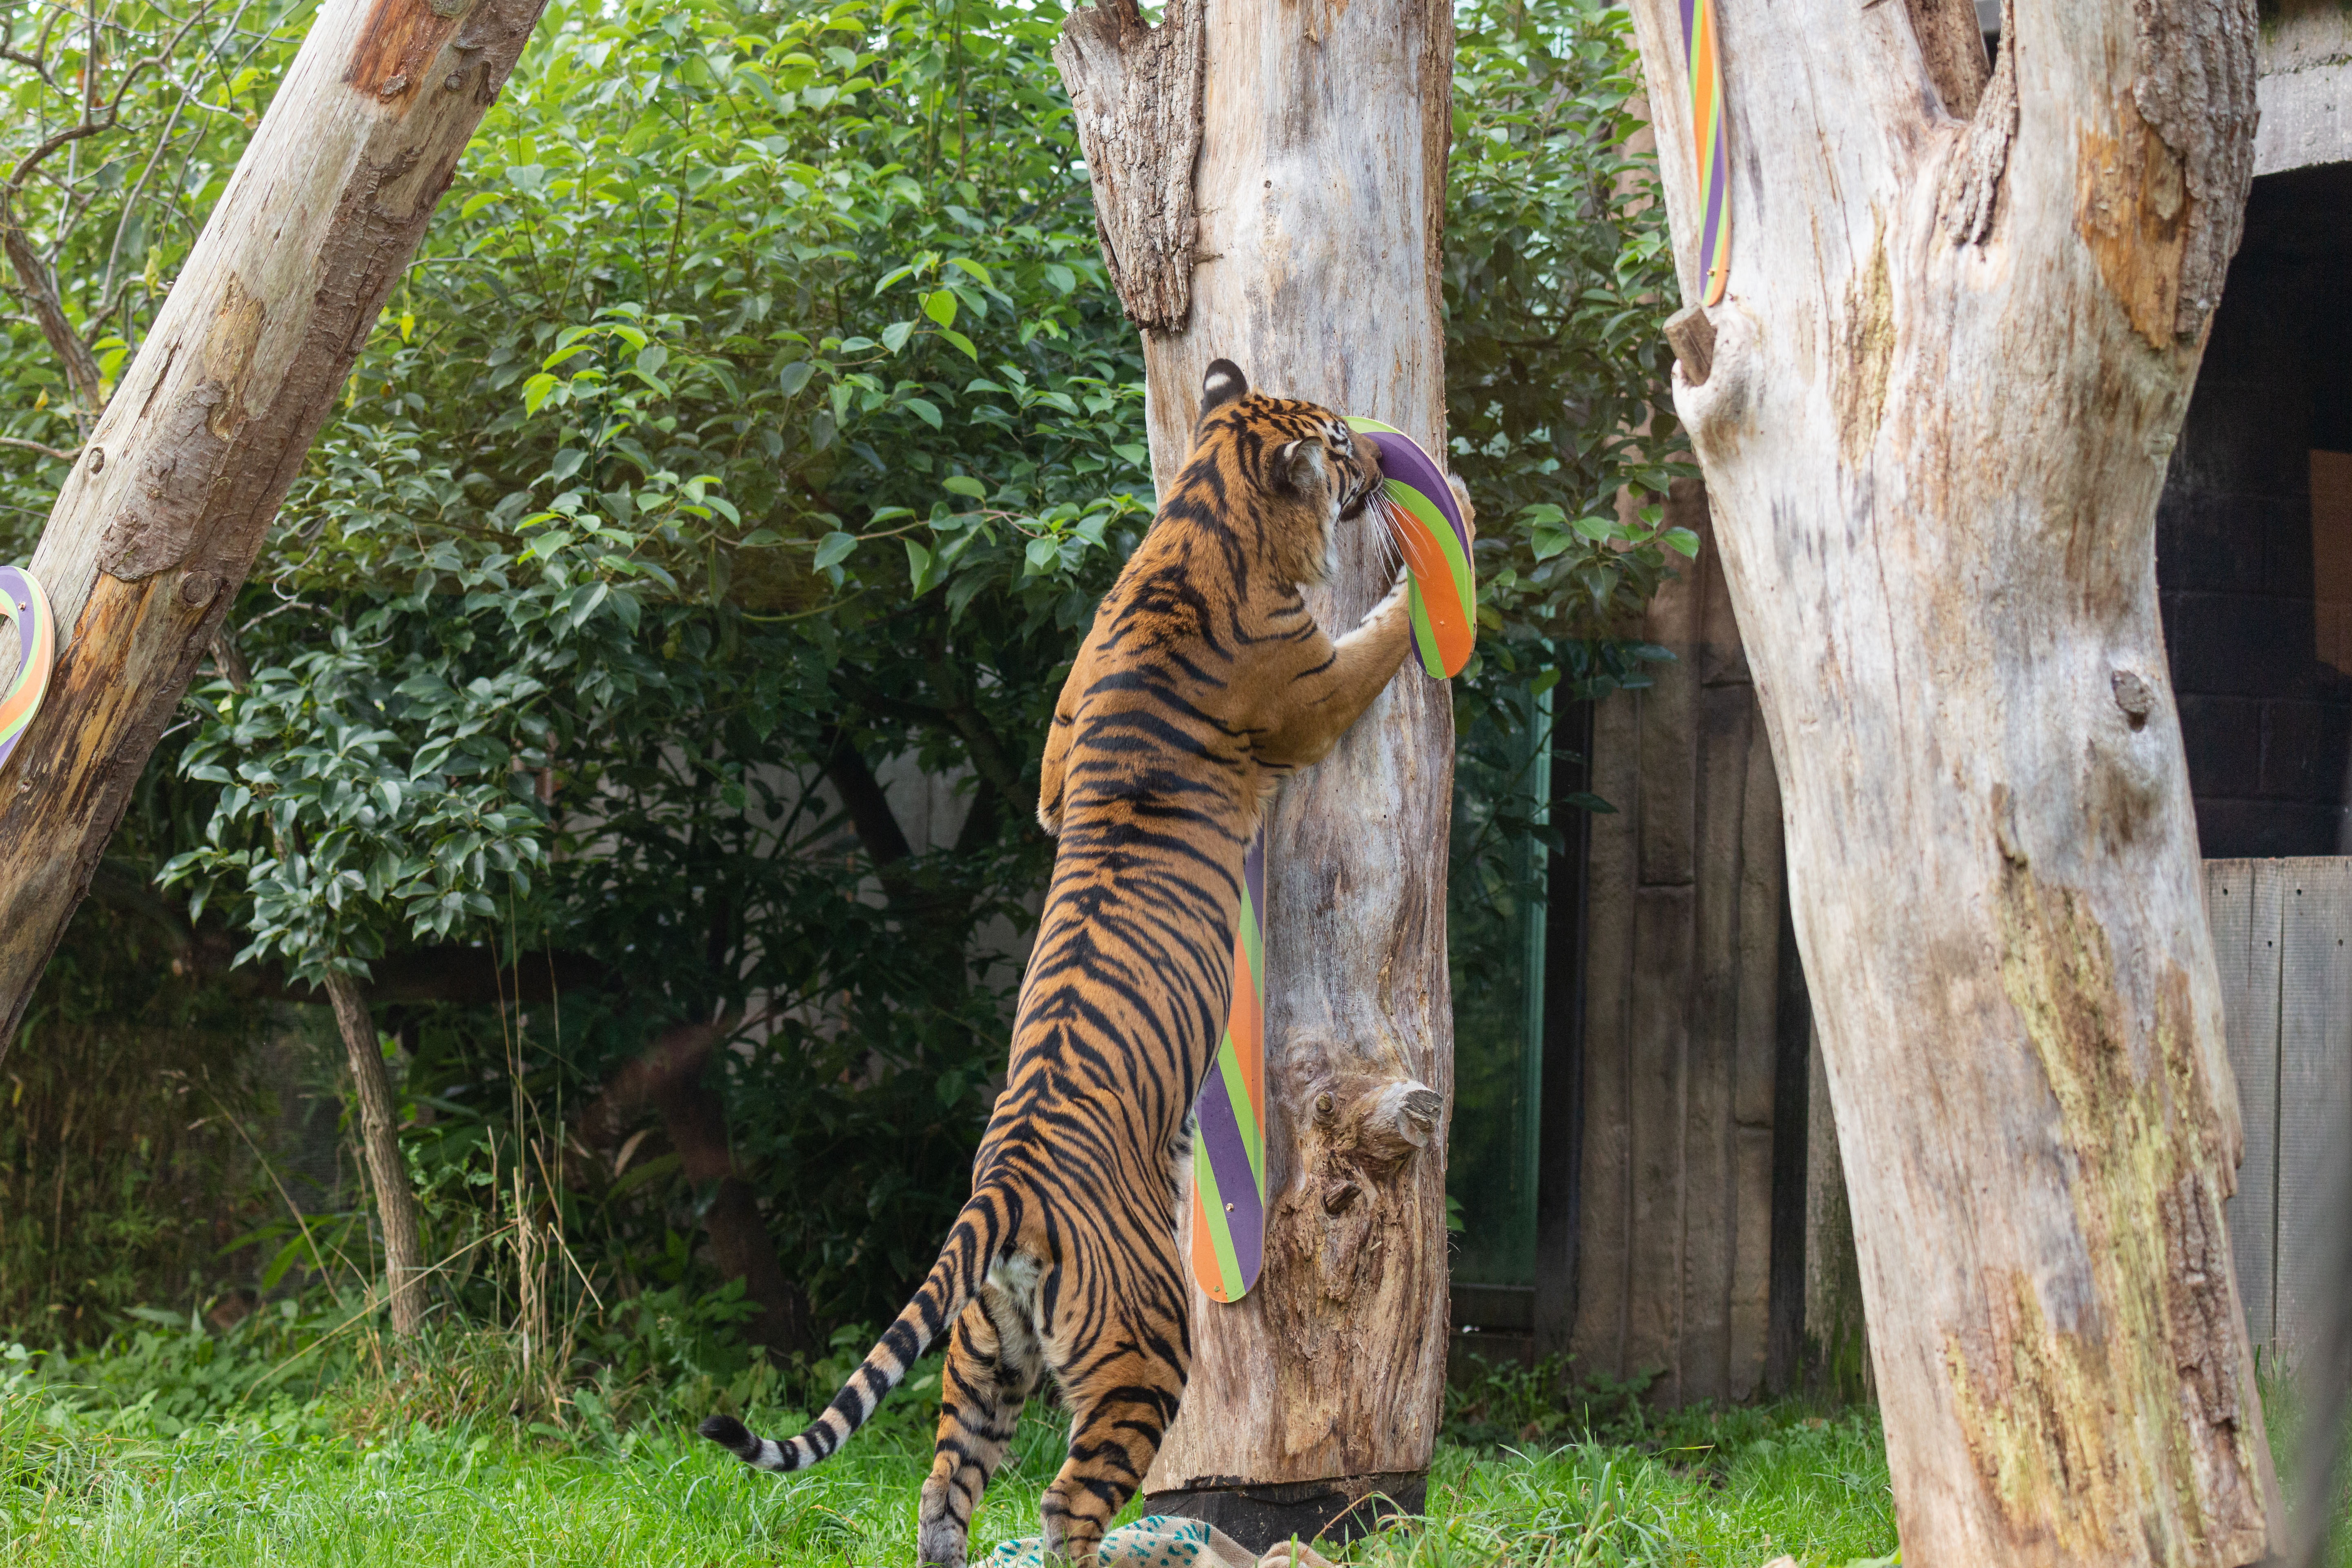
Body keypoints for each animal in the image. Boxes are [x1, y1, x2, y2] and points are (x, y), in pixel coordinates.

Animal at [696, 359, 1468, 1568]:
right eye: (1340, 446)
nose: (1377, 461)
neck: (1201, 515)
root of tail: (1006, 1189)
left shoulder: (1058, 755)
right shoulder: (1311, 694)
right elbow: (1380, 646)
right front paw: (1422, 566)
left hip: (982, 1357)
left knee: (942, 1493)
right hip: (1146, 1349)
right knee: (1068, 1505)